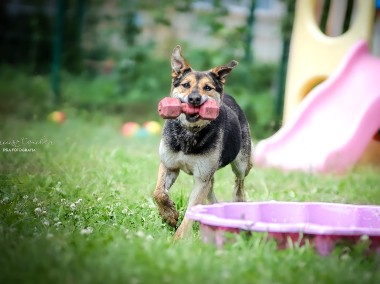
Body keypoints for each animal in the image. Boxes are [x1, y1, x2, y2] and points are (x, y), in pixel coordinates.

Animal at [153, 45, 254, 240]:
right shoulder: (169, 165)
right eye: (186, 85)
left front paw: (178, 240)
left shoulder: (201, 179)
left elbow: (191, 212)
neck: (189, 132)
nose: (194, 99)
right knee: (213, 190)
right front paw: (168, 214)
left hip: (240, 164)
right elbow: (158, 193)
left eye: (207, 88)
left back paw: (238, 201)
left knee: (240, 181)